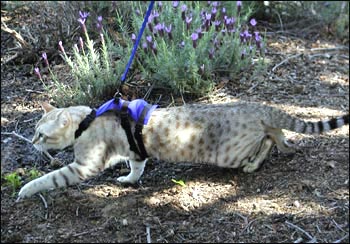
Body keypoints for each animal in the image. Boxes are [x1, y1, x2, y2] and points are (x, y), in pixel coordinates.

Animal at [17, 101, 350, 200]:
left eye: (41, 134)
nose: (31, 142)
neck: (87, 119)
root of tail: (255, 105)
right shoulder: (135, 153)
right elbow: (136, 167)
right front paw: (128, 180)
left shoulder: (84, 165)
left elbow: (51, 178)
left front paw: (26, 190)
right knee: (276, 131)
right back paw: (285, 146)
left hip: (230, 152)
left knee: (267, 140)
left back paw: (255, 164)